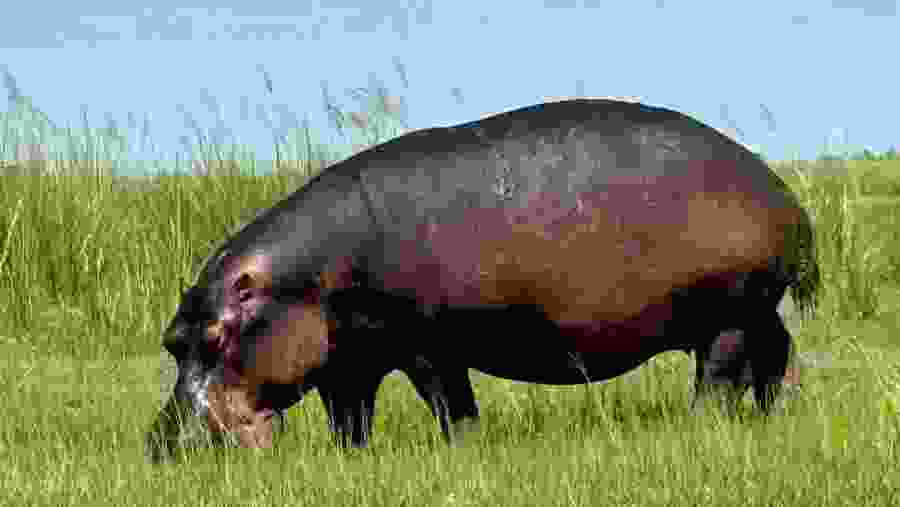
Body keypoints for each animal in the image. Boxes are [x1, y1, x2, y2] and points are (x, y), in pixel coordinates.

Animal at [145, 98, 820, 462]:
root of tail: (782, 192)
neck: (303, 278)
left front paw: (461, 450)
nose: (162, 445)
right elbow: (349, 419)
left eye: (216, 338)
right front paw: (350, 460)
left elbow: (452, 404)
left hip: (728, 315)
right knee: (778, 357)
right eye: (172, 341)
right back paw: (778, 417)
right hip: (760, 311)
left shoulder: (428, 346)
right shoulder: (346, 362)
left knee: (719, 378)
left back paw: (701, 425)